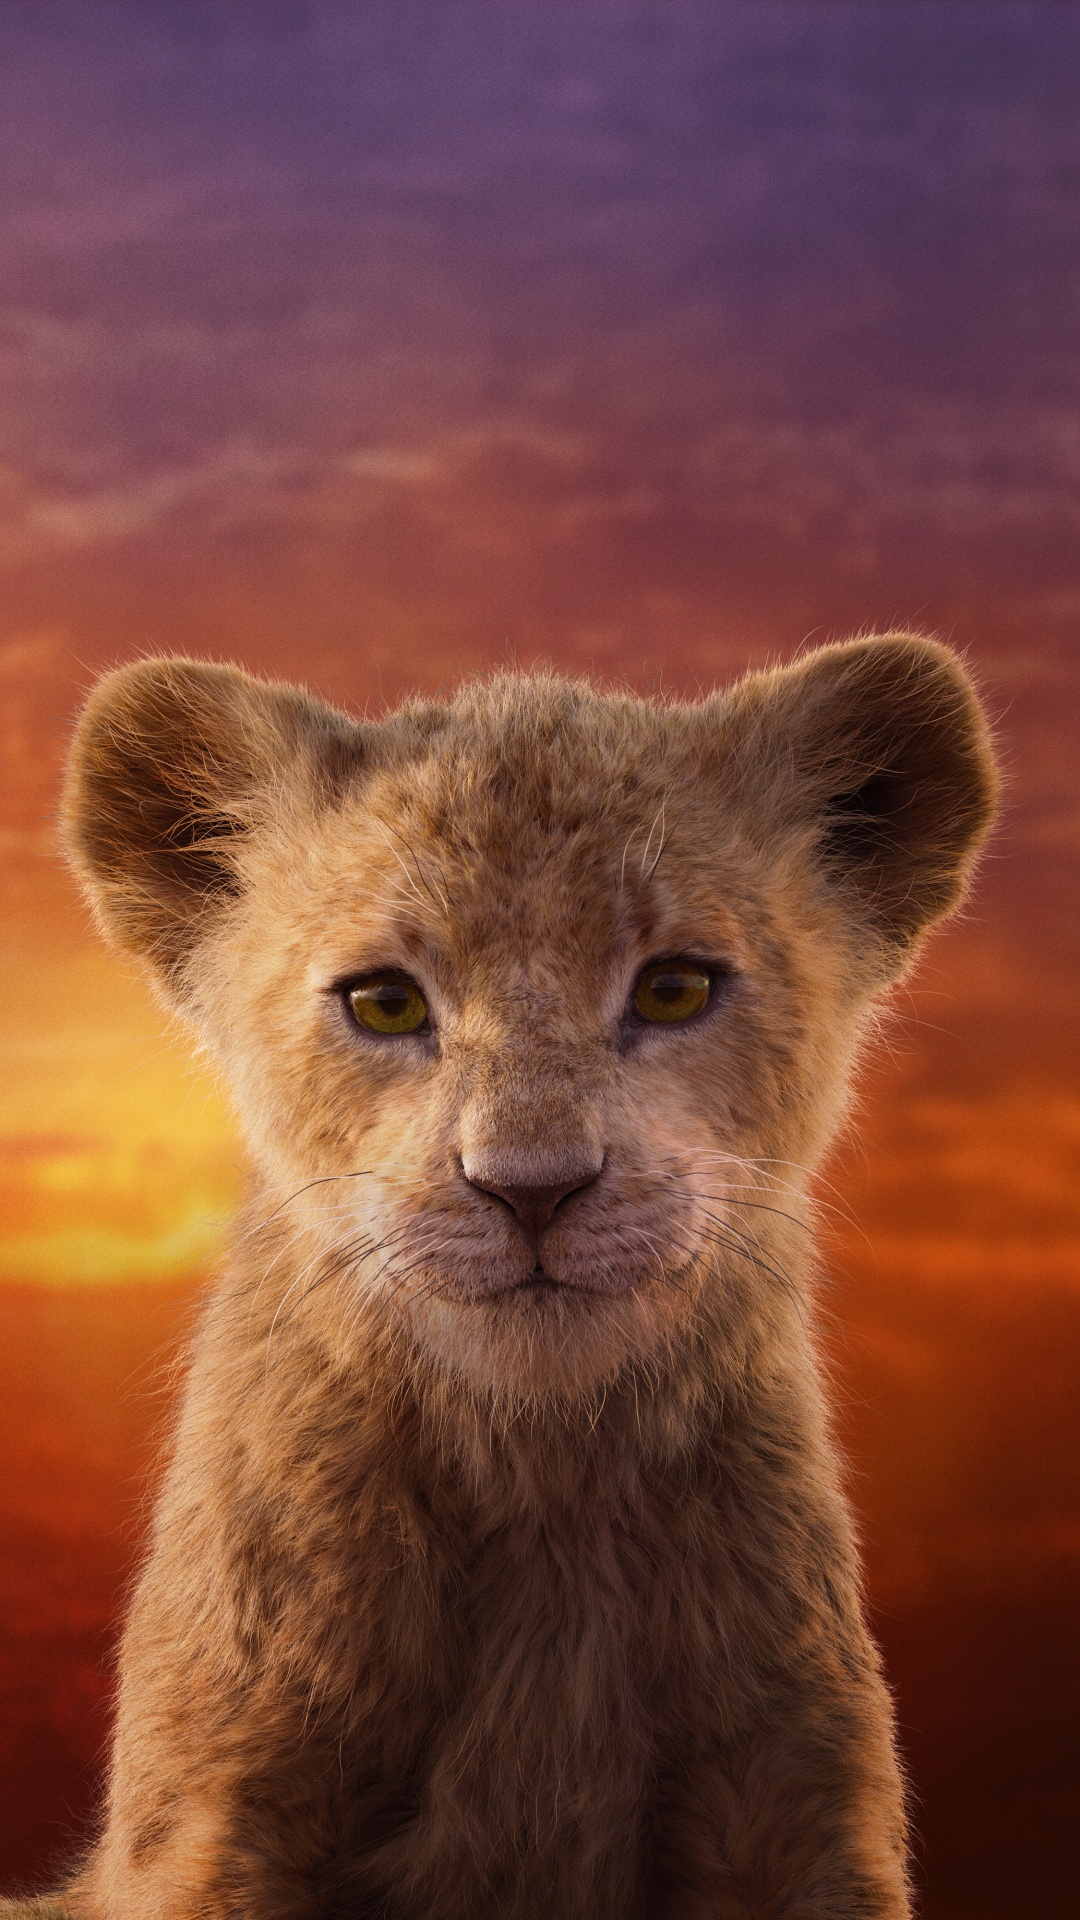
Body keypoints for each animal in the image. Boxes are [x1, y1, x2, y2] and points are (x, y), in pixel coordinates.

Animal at [5, 634, 996, 1918]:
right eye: (384, 1002)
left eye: (675, 987)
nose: (532, 1190)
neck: (540, 1471)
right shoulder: (220, 1821)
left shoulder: (800, 1816)